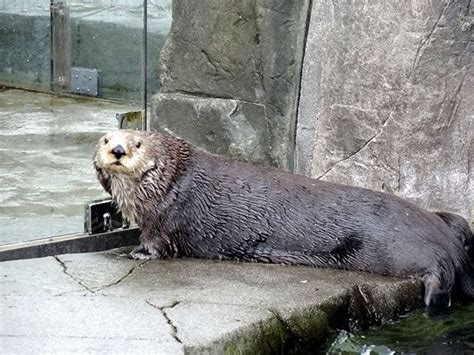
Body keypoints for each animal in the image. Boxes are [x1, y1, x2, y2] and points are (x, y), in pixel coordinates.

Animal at [94, 130, 472, 308]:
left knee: (440, 271)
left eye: (137, 143)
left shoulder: (162, 218)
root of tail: (450, 243)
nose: (117, 150)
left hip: (402, 249)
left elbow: (156, 244)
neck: (171, 179)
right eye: (106, 138)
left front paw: (135, 254)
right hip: (446, 226)